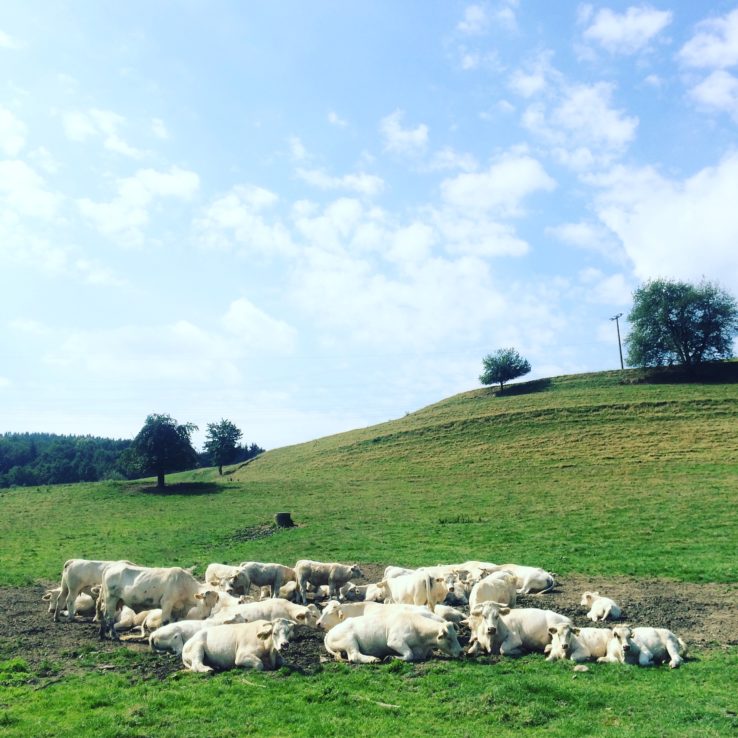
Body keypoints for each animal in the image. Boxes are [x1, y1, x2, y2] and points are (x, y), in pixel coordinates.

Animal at [324, 608, 460, 660]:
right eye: (449, 638)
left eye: (456, 636)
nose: (461, 652)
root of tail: (329, 632)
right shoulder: (395, 641)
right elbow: (409, 655)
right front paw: (392, 657)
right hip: (349, 641)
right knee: (354, 656)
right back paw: (373, 659)